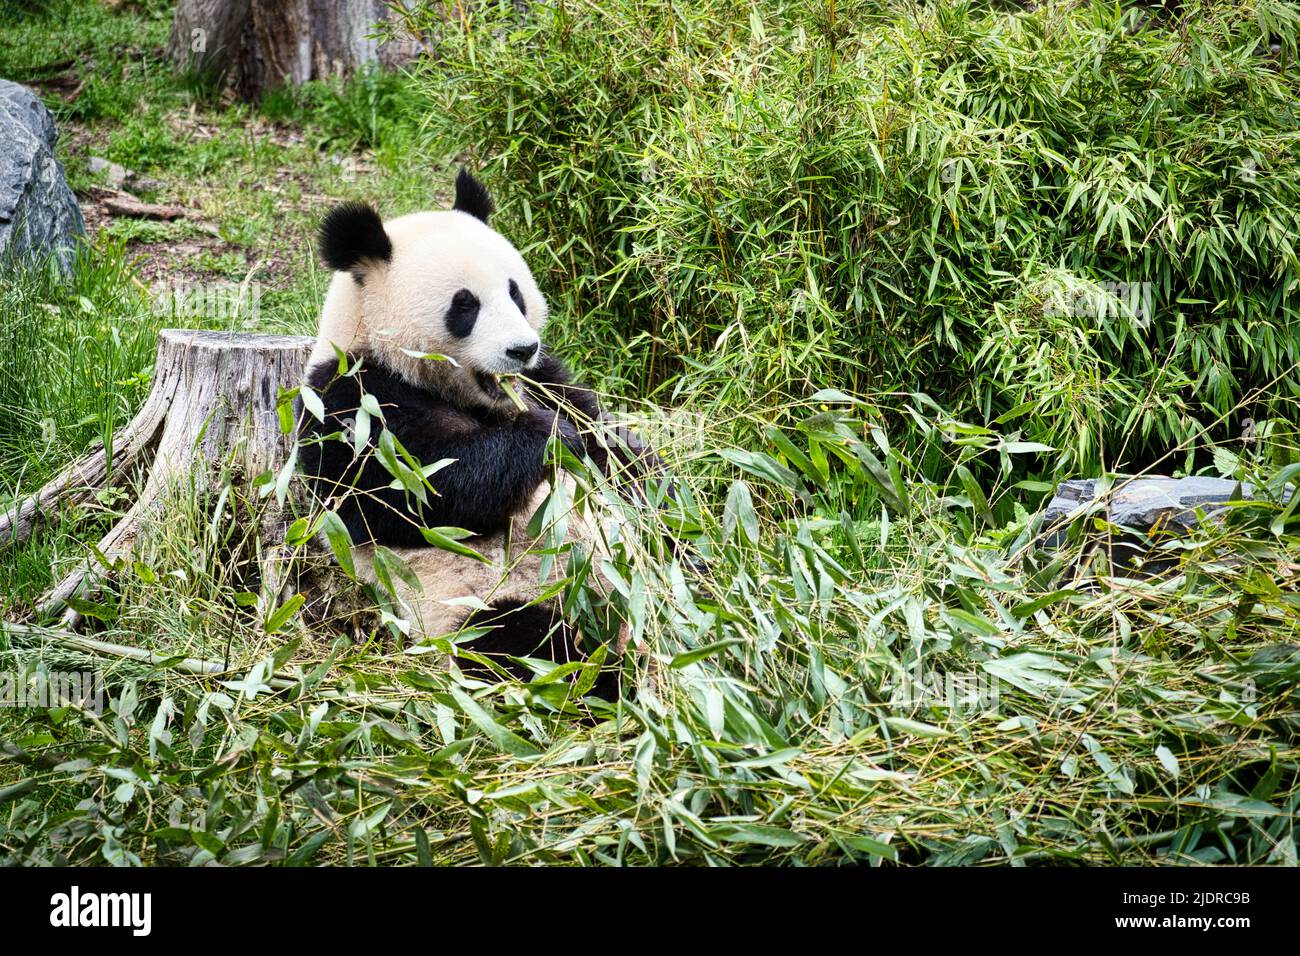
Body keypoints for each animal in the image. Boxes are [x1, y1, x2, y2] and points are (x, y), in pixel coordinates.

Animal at [304, 170, 650, 697]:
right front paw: (548, 437)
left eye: (515, 292)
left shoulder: (547, 381)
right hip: (490, 603)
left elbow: (615, 451)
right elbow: (420, 494)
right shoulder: (351, 403)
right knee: (527, 646)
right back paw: (602, 678)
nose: (521, 349)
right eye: (464, 305)